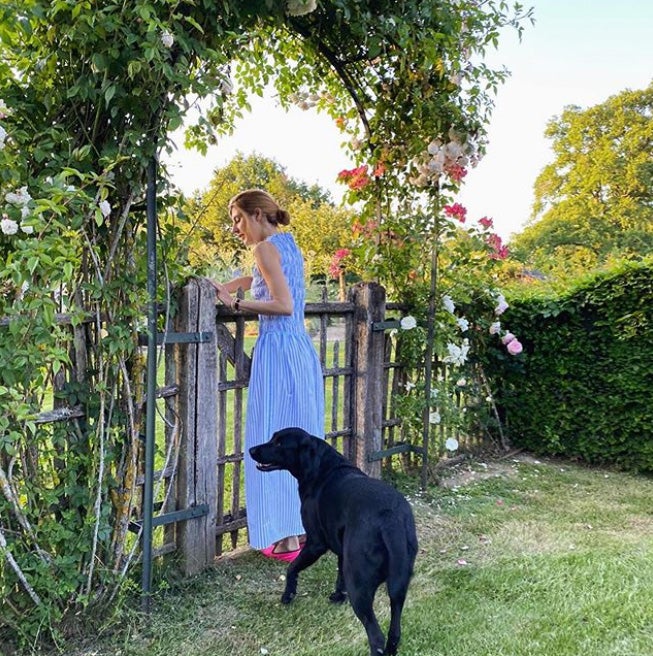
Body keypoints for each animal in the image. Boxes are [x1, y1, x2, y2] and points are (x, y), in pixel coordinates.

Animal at [250, 428, 418, 652]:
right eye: (272, 438)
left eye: (279, 443)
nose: (251, 450)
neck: (321, 468)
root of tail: (390, 518)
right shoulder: (342, 550)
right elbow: (339, 576)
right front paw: (338, 597)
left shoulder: (315, 543)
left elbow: (292, 567)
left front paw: (288, 595)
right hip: (398, 587)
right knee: (394, 632)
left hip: (360, 586)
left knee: (376, 636)